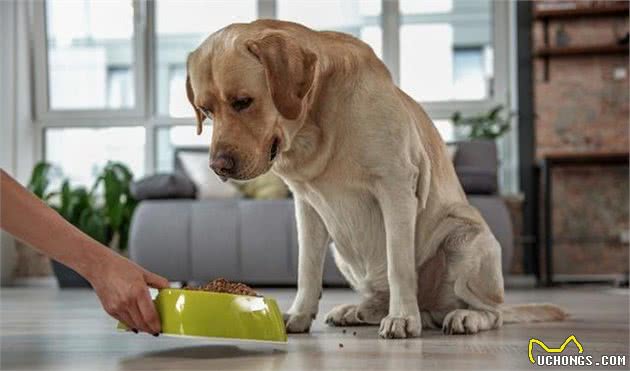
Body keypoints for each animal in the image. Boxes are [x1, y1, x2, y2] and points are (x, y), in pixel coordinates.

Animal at [185, 20, 564, 340]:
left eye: (243, 102)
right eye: (205, 111)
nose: (218, 166)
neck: (315, 126)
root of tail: (432, 309)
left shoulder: (395, 189)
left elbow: (400, 265)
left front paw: (403, 318)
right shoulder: (307, 207)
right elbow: (306, 268)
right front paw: (298, 314)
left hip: (466, 238)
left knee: (492, 312)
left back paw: (461, 317)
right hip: (342, 250)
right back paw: (360, 310)